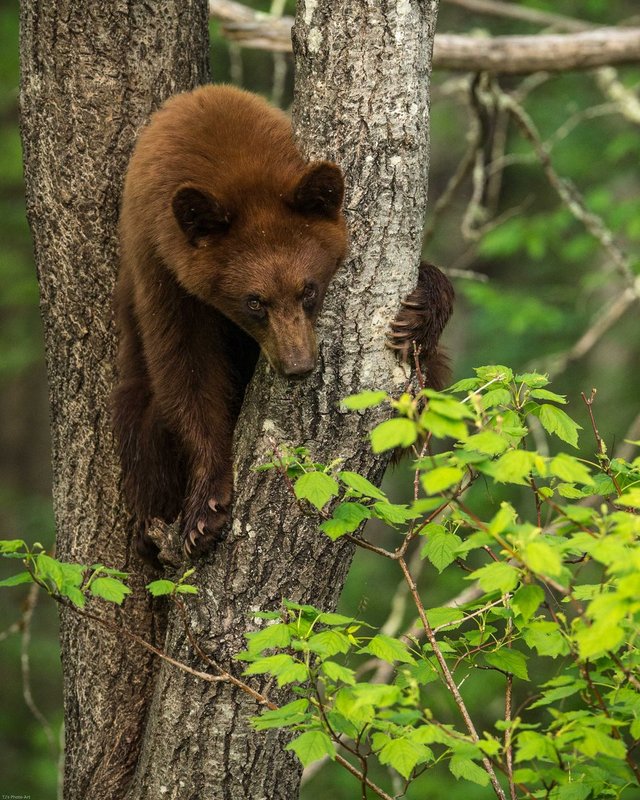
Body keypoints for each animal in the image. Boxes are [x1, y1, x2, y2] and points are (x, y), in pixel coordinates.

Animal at [111, 84, 453, 567]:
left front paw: (420, 311)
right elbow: (184, 368)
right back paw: (148, 527)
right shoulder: (160, 268)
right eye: (253, 301)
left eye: (309, 289)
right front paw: (206, 507)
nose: (299, 365)